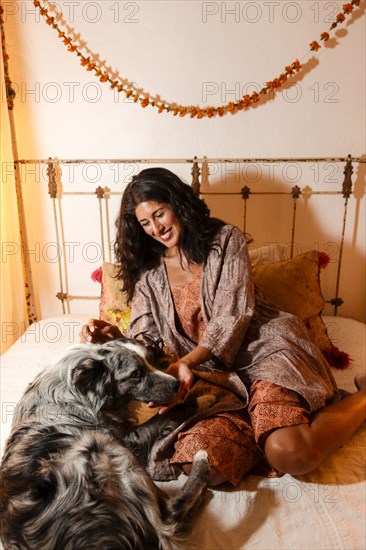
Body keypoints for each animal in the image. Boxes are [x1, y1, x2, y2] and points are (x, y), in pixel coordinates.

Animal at [0, 340, 209, 550]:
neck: (77, 392)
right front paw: (196, 402)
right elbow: (161, 417)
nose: (177, 384)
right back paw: (201, 463)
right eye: (136, 374)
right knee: (171, 516)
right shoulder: (124, 438)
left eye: (150, 360)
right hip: (102, 447)